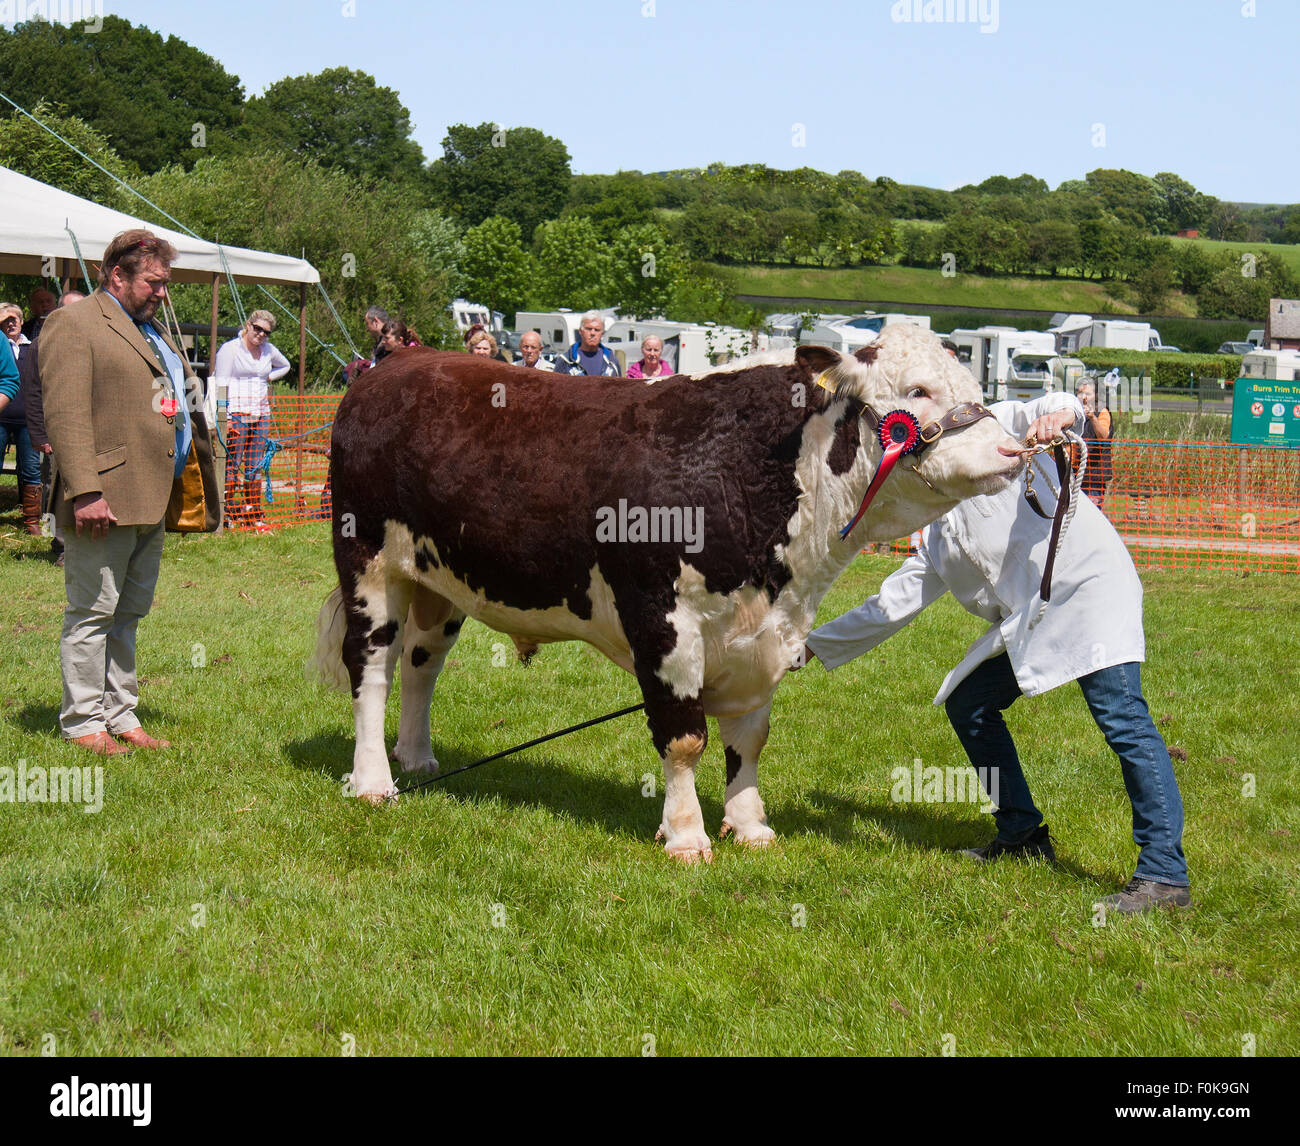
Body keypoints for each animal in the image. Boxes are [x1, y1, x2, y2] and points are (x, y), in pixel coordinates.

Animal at [309, 322, 1019, 857]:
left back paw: (417, 757)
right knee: (370, 666)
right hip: (367, 563)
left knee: (421, 664)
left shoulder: (764, 636)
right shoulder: (661, 620)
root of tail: (398, 361)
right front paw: (685, 836)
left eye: (971, 384)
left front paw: (750, 826)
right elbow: (683, 738)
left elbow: (749, 738)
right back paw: (372, 780)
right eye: (918, 390)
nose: (1014, 451)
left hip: (440, 582)